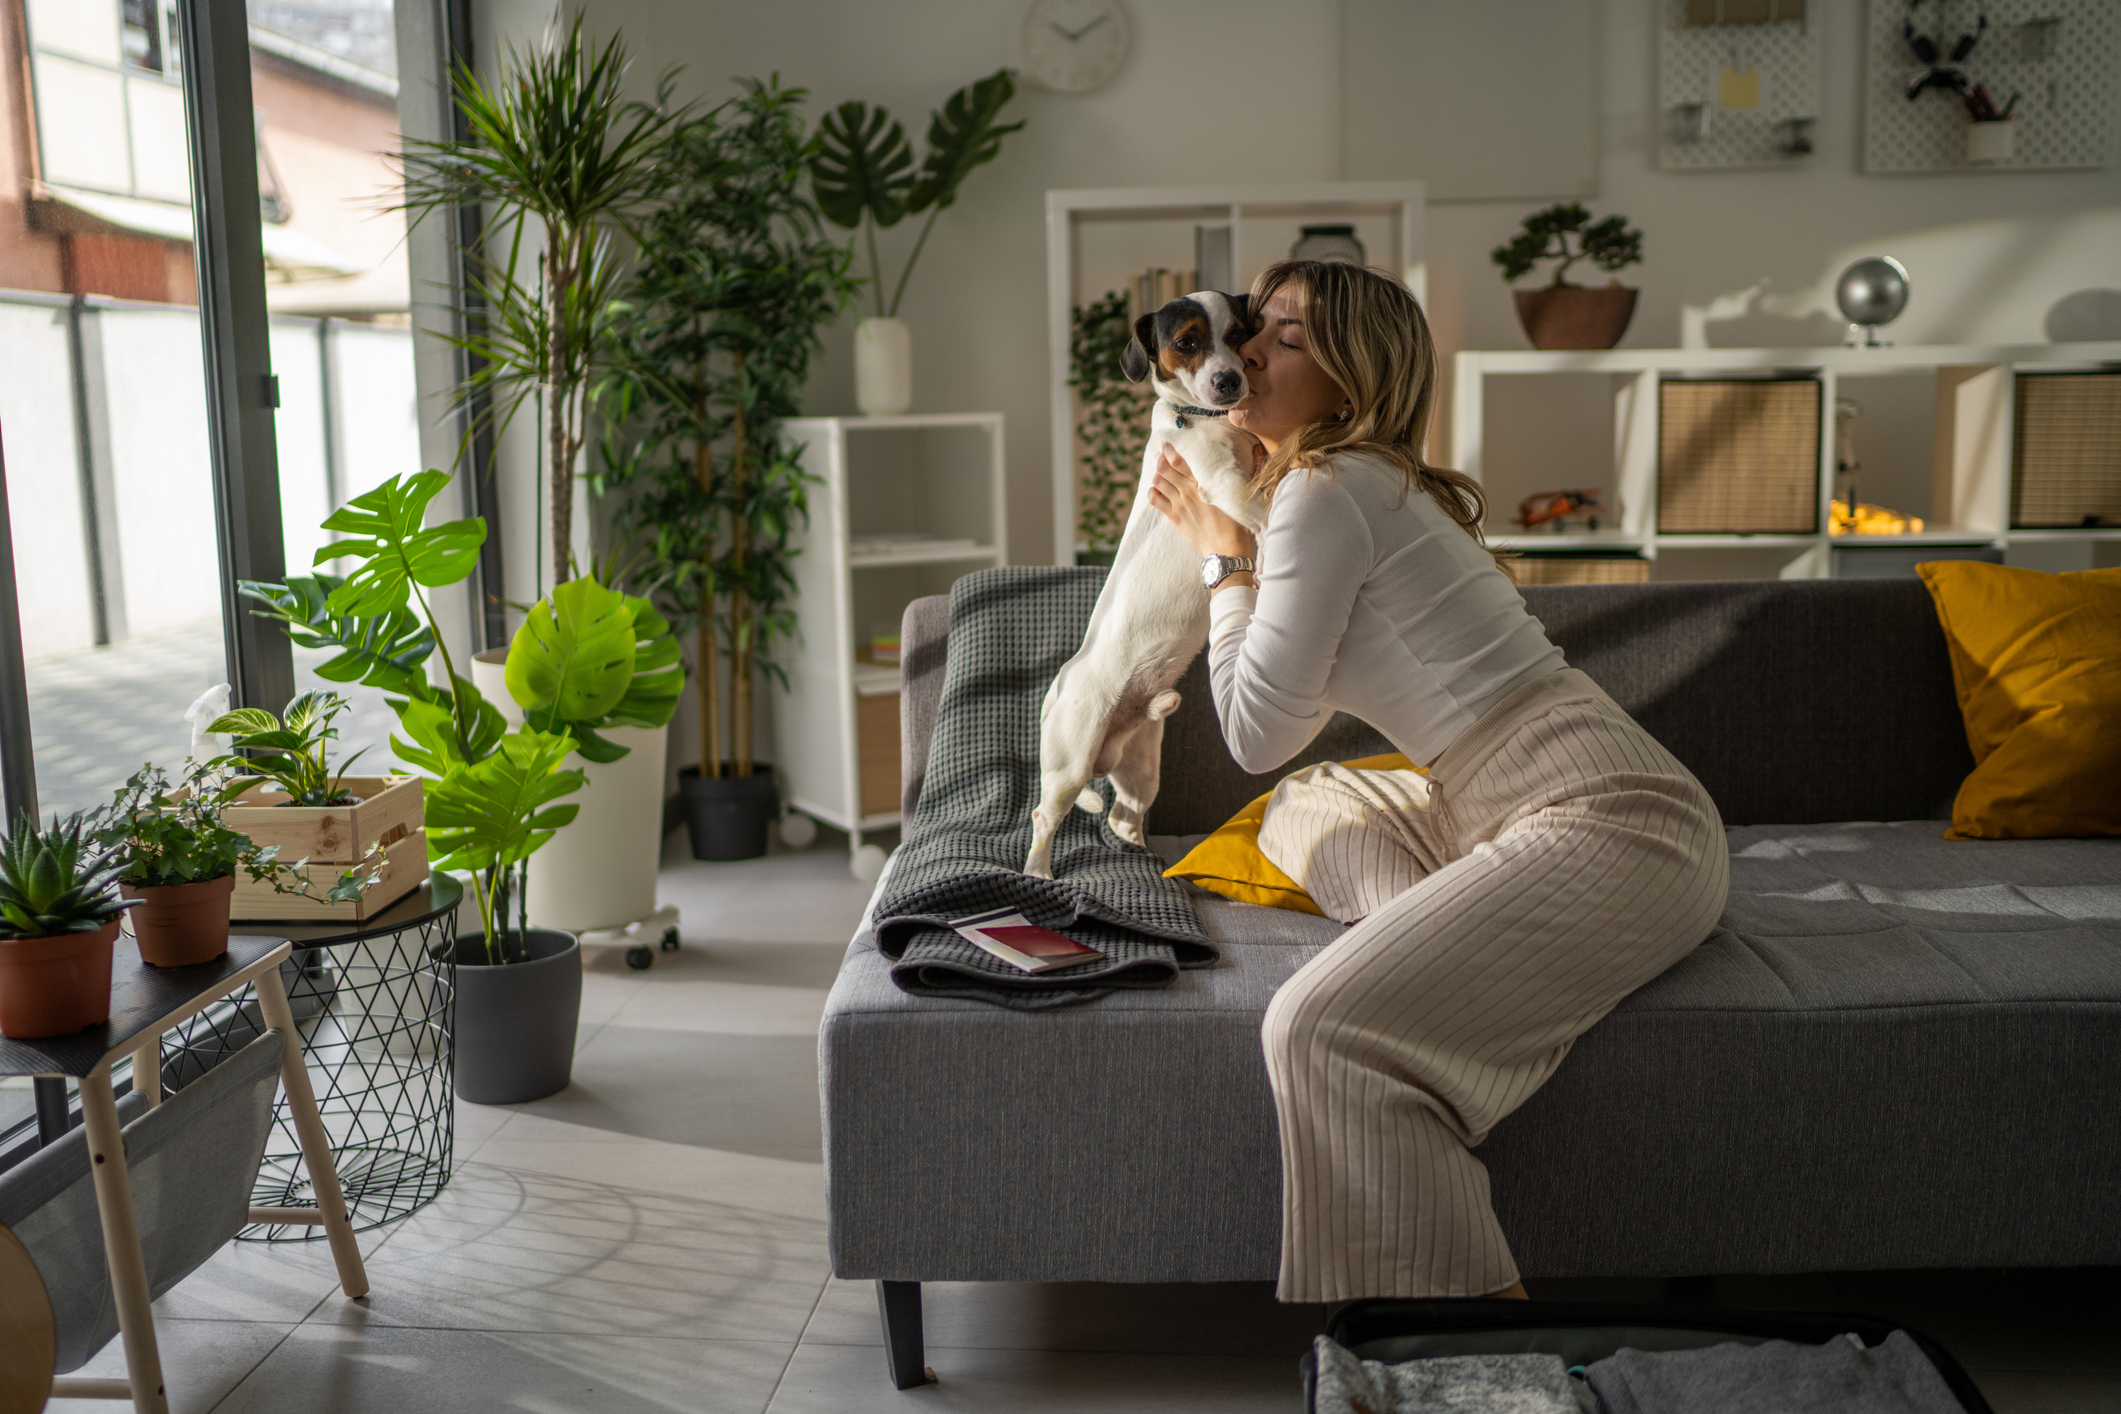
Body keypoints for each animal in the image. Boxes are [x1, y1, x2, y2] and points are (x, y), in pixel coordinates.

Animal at [1022, 292, 1264, 877]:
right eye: (1187, 342)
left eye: (1240, 334)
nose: (1229, 381)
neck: (1208, 420)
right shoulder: (1225, 486)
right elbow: (1269, 502)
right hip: (1069, 765)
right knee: (1044, 817)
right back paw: (1038, 872)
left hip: (1141, 768)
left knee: (1121, 817)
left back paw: (1140, 854)